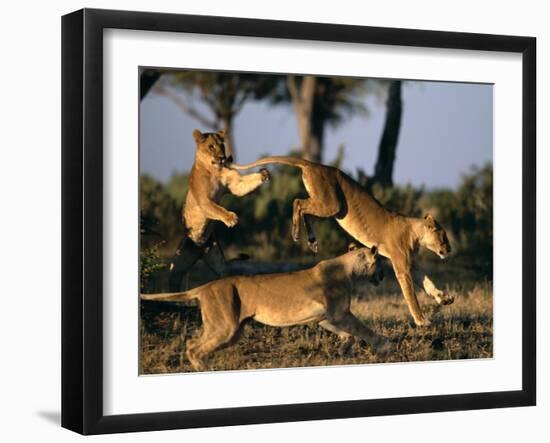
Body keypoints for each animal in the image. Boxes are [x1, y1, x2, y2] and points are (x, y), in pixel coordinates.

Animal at [142, 245, 392, 372]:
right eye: (380, 263)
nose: (382, 275)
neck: (349, 269)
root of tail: (206, 286)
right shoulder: (339, 313)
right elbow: (362, 329)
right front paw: (384, 345)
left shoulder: (326, 317)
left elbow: (348, 334)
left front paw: (344, 349)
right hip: (226, 326)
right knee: (194, 346)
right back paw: (204, 369)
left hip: (230, 329)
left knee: (192, 342)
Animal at [168, 129, 272, 292]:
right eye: (211, 147)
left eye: (222, 145)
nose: (223, 158)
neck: (214, 170)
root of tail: (200, 249)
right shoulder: (204, 200)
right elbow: (217, 209)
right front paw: (231, 218)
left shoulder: (234, 183)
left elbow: (240, 187)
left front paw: (263, 174)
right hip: (178, 264)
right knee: (173, 278)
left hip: (217, 259)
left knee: (223, 272)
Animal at [231, 156, 454, 326]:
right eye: (443, 236)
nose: (449, 250)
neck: (415, 234)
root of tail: (316, 165)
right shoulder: (402, 267)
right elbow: (411, 295)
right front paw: (422, 321)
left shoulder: (411, 263)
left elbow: (428, 282)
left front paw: (444, 298)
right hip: (333, 204)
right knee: (298, 203)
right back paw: (296, 233)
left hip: (328, 204)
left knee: (305, 210)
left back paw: (312, 240)